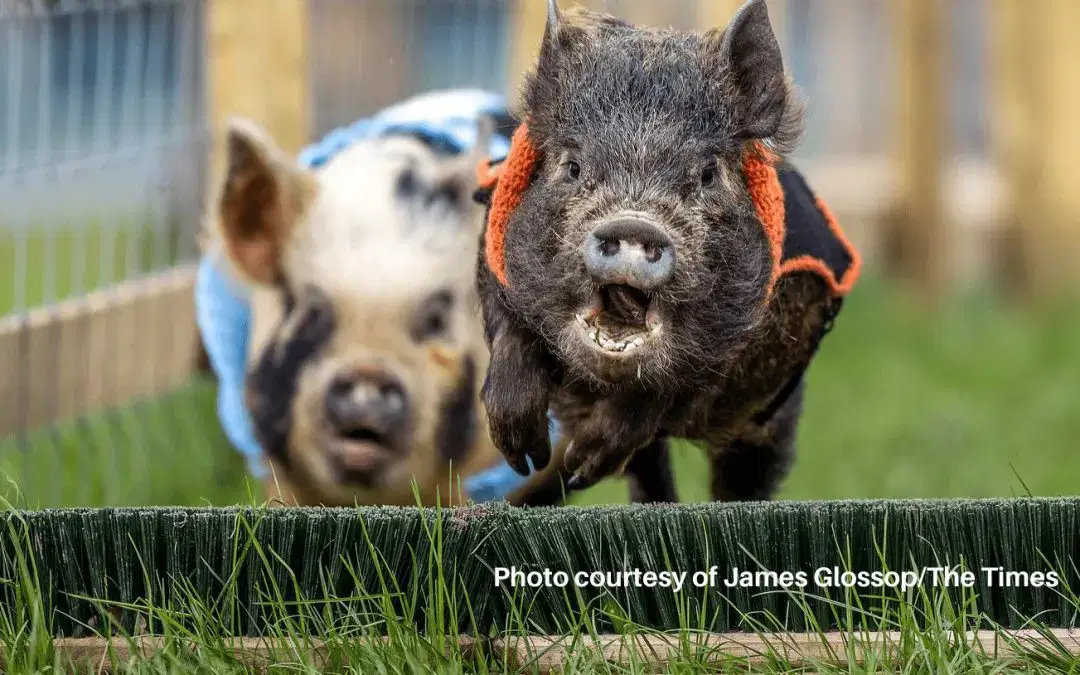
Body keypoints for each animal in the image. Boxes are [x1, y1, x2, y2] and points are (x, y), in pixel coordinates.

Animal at [473, 0, 861, 502]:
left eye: (708, 174)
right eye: (573, 167)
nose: (633, 222)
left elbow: (679, 382)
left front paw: (580, 461)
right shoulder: (491, 248)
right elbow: (509, 331)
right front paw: (525, 457)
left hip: (767, 429)